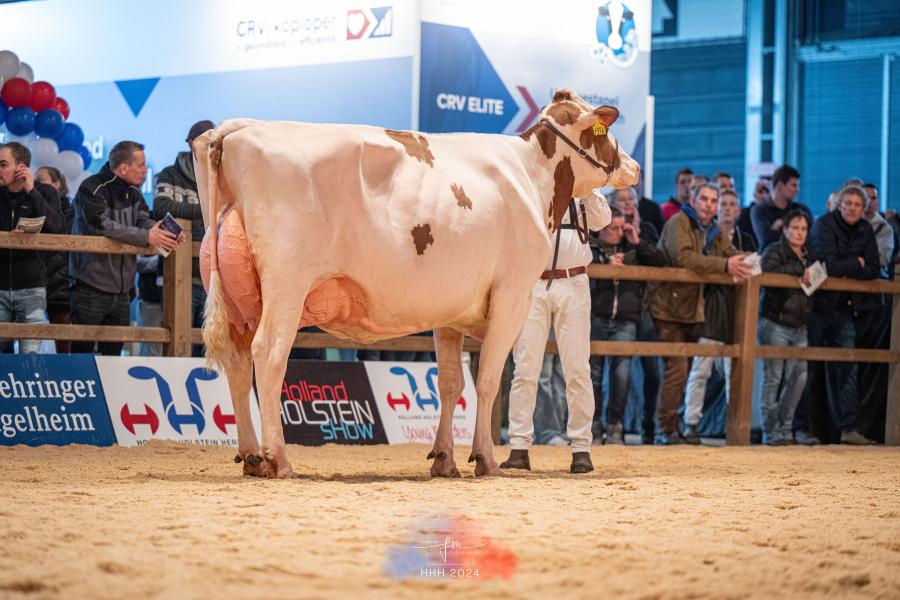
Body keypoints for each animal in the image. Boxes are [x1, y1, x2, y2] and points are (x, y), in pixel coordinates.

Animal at [193, 88, 640, 478]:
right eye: (604, 130)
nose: (635, 167)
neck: (530, 174)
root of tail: (238, 129)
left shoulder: (451, 310)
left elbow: (451, 383)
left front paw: (445, 460)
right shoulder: (513, 294)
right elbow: (488, 379)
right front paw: (486, 459)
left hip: (235, 295)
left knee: (237, 361)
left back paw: (252, 457)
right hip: (287, 283)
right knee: (268, 355)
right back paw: (279, 459)